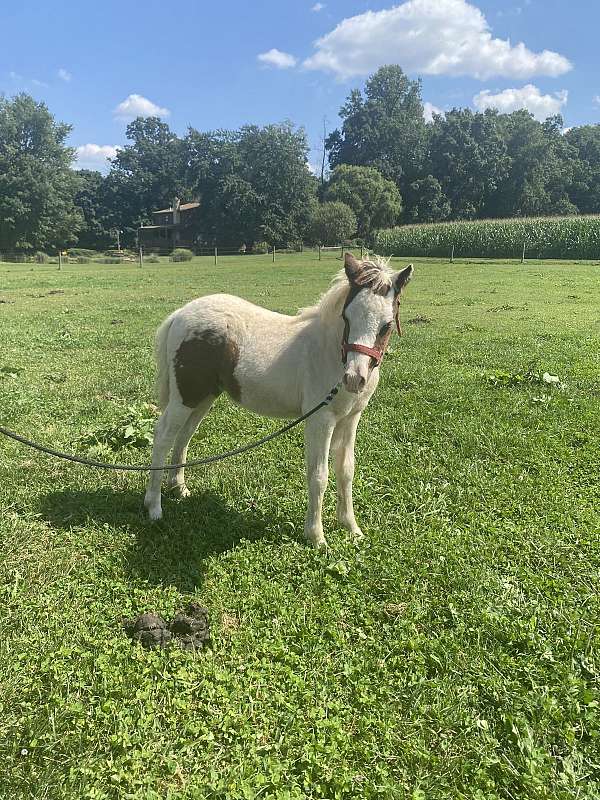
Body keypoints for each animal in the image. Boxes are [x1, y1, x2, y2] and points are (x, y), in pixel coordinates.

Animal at [144, 253, 414, 548]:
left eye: (386, 325)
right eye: (347, 317)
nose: (354, 378)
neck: (330, 353)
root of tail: (180, 314)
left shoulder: (350, 418)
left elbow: (346, 470)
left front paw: (352, 528)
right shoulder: (320, 419)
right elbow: (319, 475)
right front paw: (316, 537)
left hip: (203, 396)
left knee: (184, 435)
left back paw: (179, 487)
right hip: (185, 395)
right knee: (163, 436)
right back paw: (154, 506)